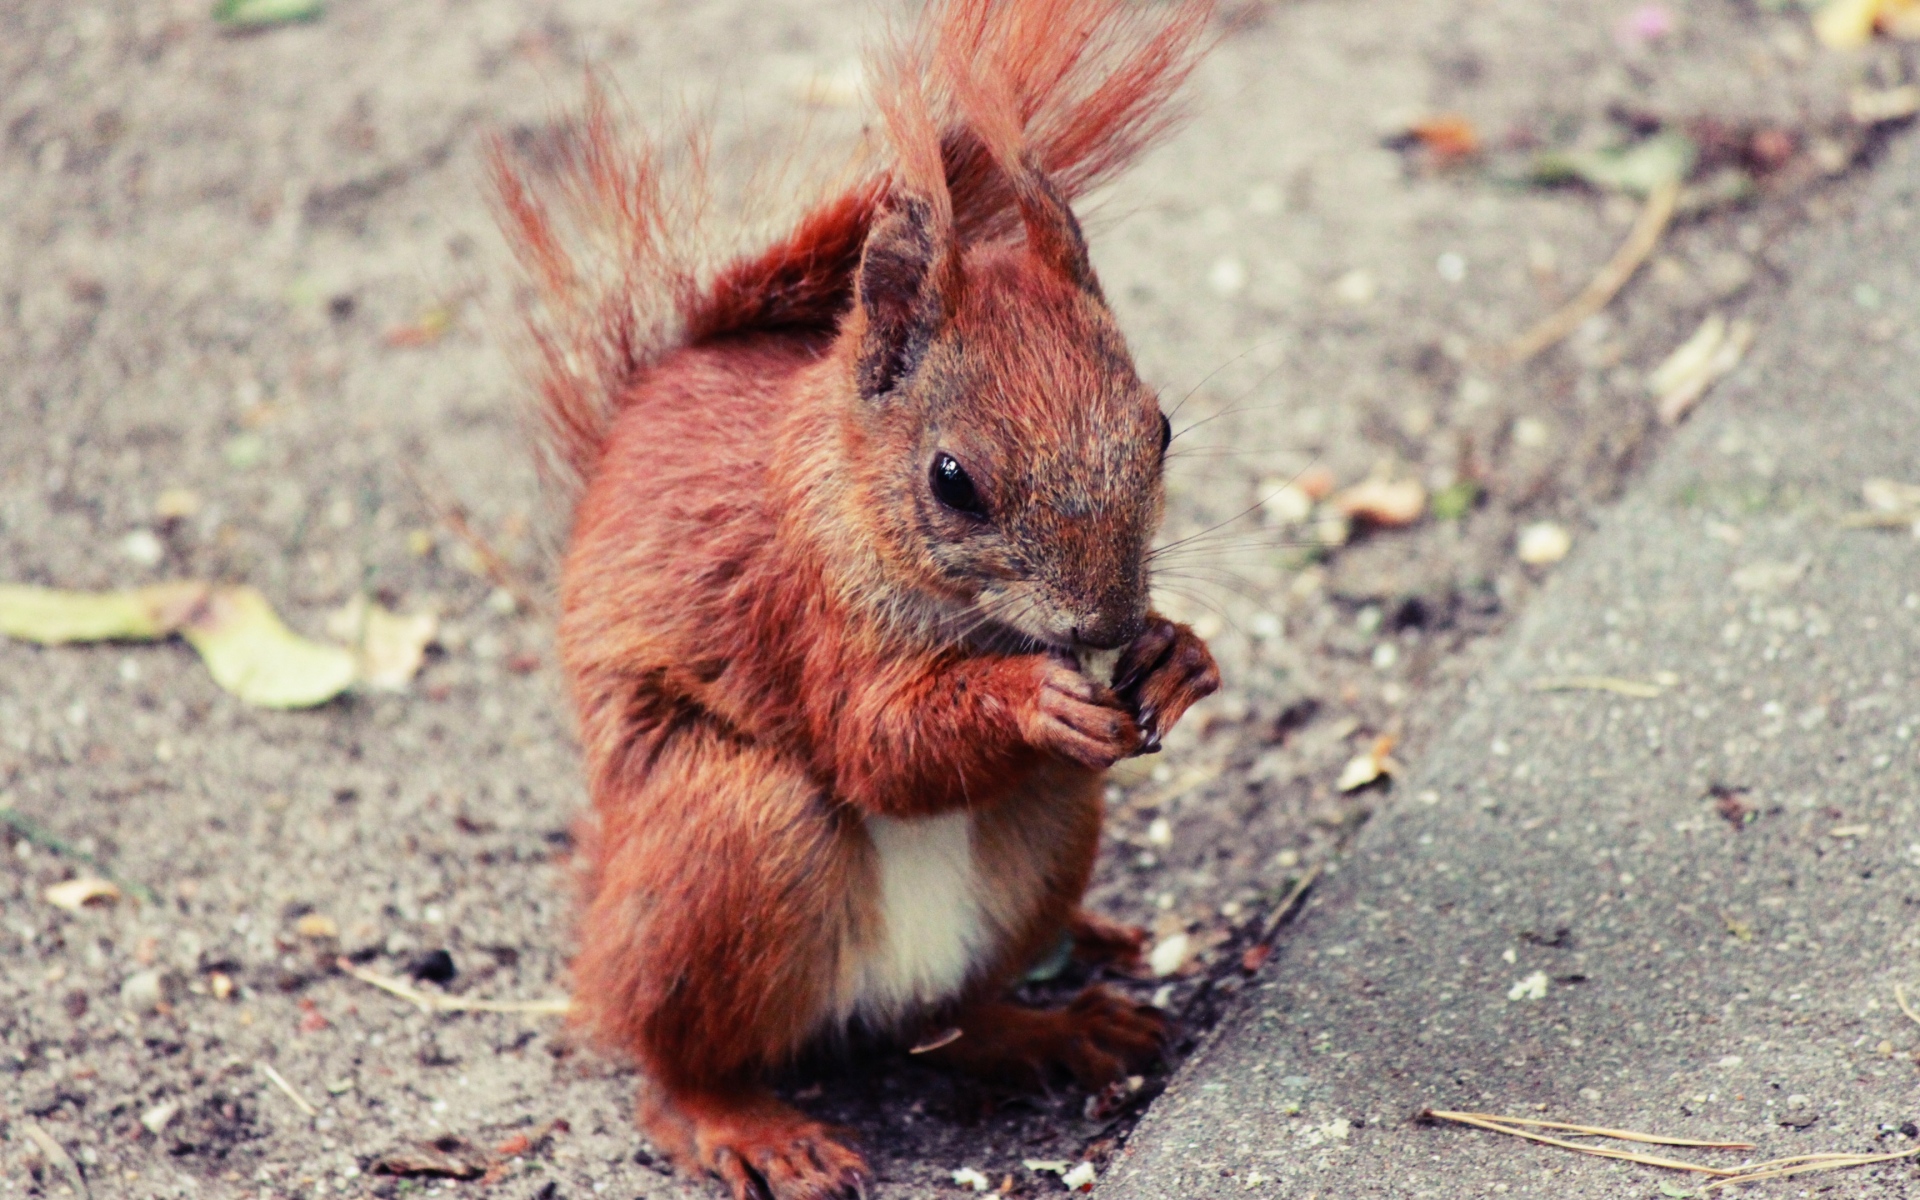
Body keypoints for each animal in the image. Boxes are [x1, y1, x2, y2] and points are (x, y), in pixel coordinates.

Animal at [492, 1, 1220, 1196]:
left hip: (1050, 831)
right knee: (669, 1065)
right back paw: (749, 1125)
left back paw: (1059, 1026)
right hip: (732, 834)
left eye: (1158, 429)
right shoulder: (806, 608)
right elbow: (876, 743)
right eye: (953, 480)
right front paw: (1033, 700)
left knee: (949, 1023)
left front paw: (1179, 657)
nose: (1107, 627)